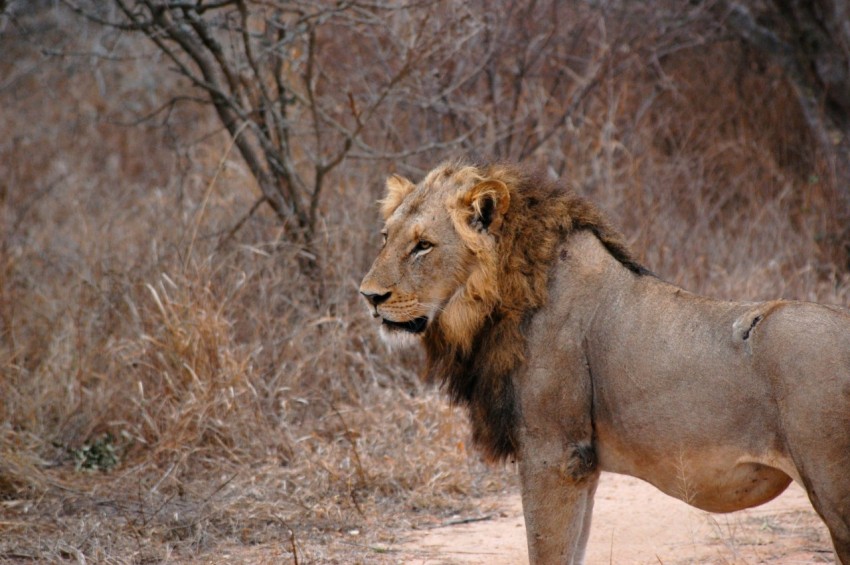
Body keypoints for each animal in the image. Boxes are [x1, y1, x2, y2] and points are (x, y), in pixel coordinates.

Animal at [356, 161, 848, 560]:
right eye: (385, 237)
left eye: (423, 245)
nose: (369, 297)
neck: (495, 301)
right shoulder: (584, 465)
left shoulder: (555, 453)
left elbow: (547, 552)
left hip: (835, 493)